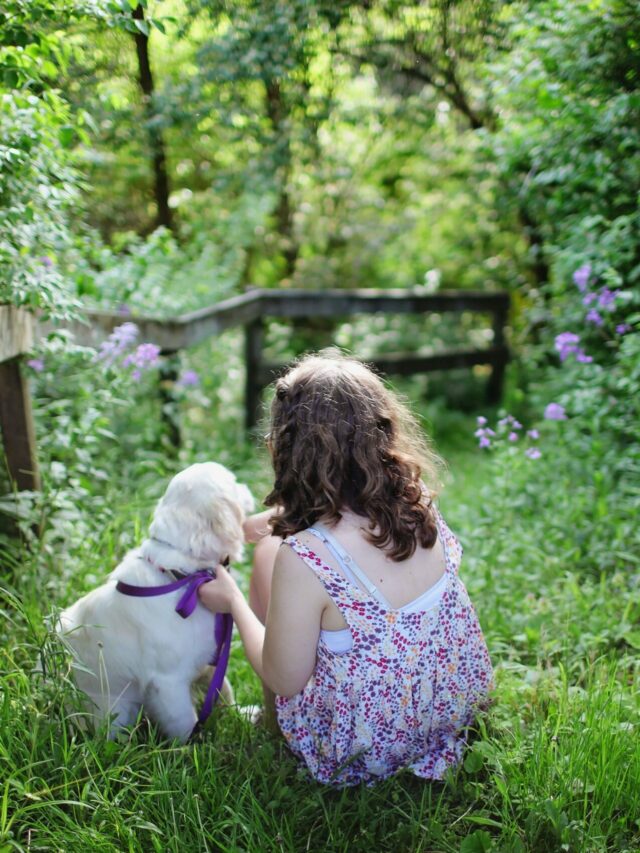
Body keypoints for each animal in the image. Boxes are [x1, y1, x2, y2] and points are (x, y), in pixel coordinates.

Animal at [57, 460, 252, 740]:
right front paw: (193, 747)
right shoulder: (168, 682)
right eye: (234, 482)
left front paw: (243, 715)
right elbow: (185, 722)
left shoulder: (210, 659)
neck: (182, 576)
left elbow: (224, 690)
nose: (247, 487)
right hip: (116, 711)